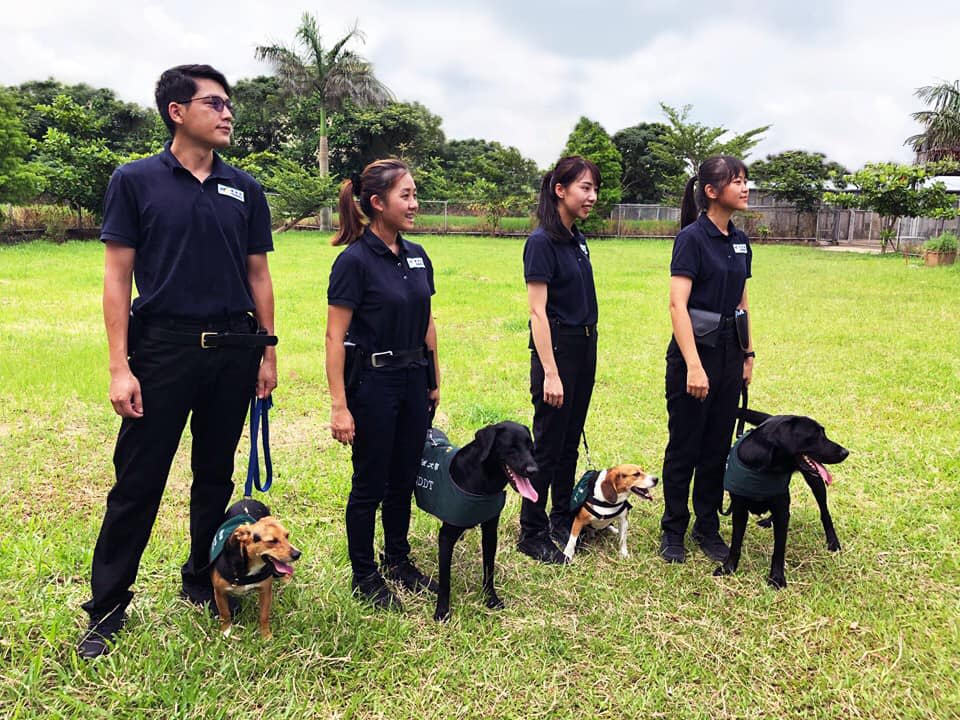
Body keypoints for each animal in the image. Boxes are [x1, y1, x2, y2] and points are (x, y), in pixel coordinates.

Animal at [209, 498, 300, 640]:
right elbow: (225, 614)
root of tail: (248, 499)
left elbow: (264, 616)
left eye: (287, 536)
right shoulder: (219, 592)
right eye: (272, 541)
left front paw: (265, 635)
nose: (297, 554)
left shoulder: (265, 591)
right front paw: (226, 631)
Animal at [416, 424, 544, 620]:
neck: (482, 480)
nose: (533, 471)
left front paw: (491, 598)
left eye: (531, 448)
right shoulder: (445, 537)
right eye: (512, 448)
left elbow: (489, 569)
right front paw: (442, 611)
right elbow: (445, 580)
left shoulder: (490, 533)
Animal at [712, 414, 848, 588]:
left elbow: (779, 549)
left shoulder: (781, 509)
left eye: (823, 433)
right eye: (816, 434)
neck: (764, 467)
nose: (845, 452)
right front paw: (728, 568)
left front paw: (776, 578)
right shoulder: (739, 510)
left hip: (815, 481)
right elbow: (735, 543)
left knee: (825, 513)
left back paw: (833, 541)